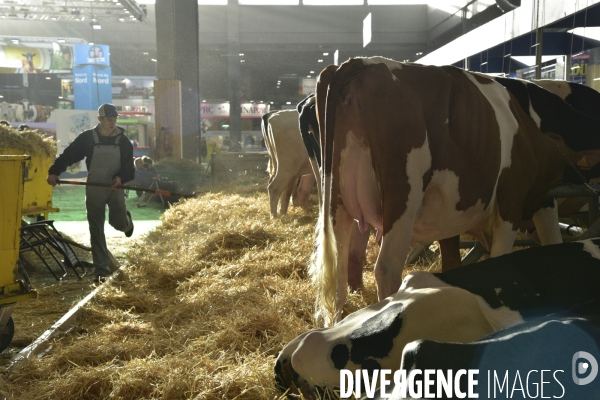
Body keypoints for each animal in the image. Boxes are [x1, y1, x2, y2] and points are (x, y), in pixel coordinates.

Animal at [314, 57, 568, 324]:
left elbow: (452, 263)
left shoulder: (450, 219)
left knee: (338, 275)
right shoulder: (511, 205)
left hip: (336, 202)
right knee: (387, 268)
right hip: (402, 200)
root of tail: (362, 62)